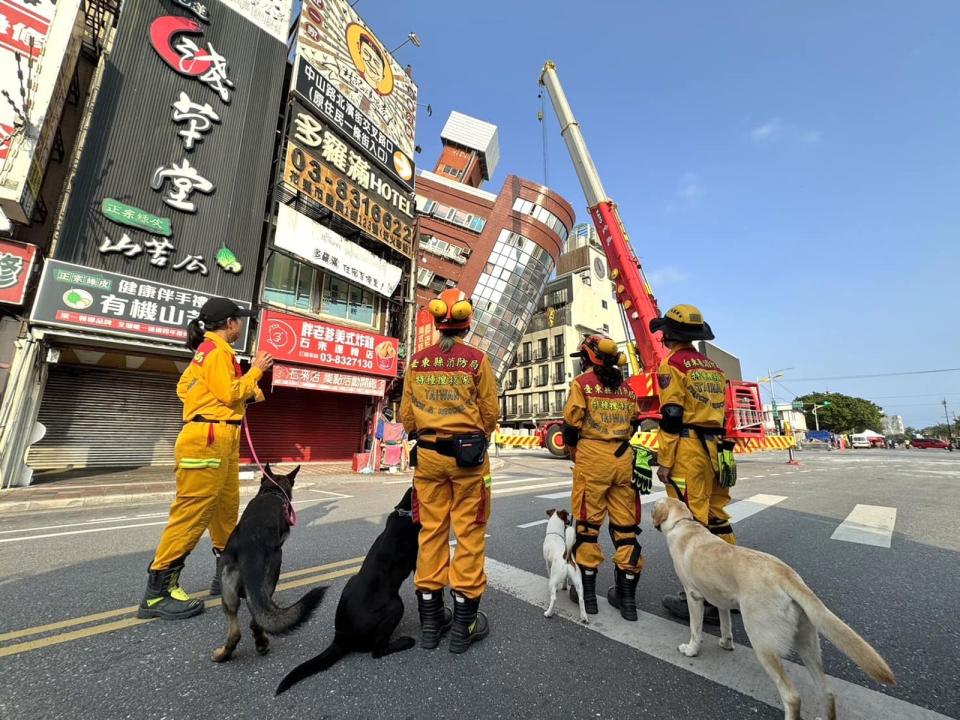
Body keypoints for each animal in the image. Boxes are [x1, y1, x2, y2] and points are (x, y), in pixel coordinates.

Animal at [213, 466, 326, 664]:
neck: (273, 492)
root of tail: (247, 547)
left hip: (227, 592)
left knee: (235, 632)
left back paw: (223, 655)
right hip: (275, 564)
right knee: (255, 622)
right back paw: (262, 644)